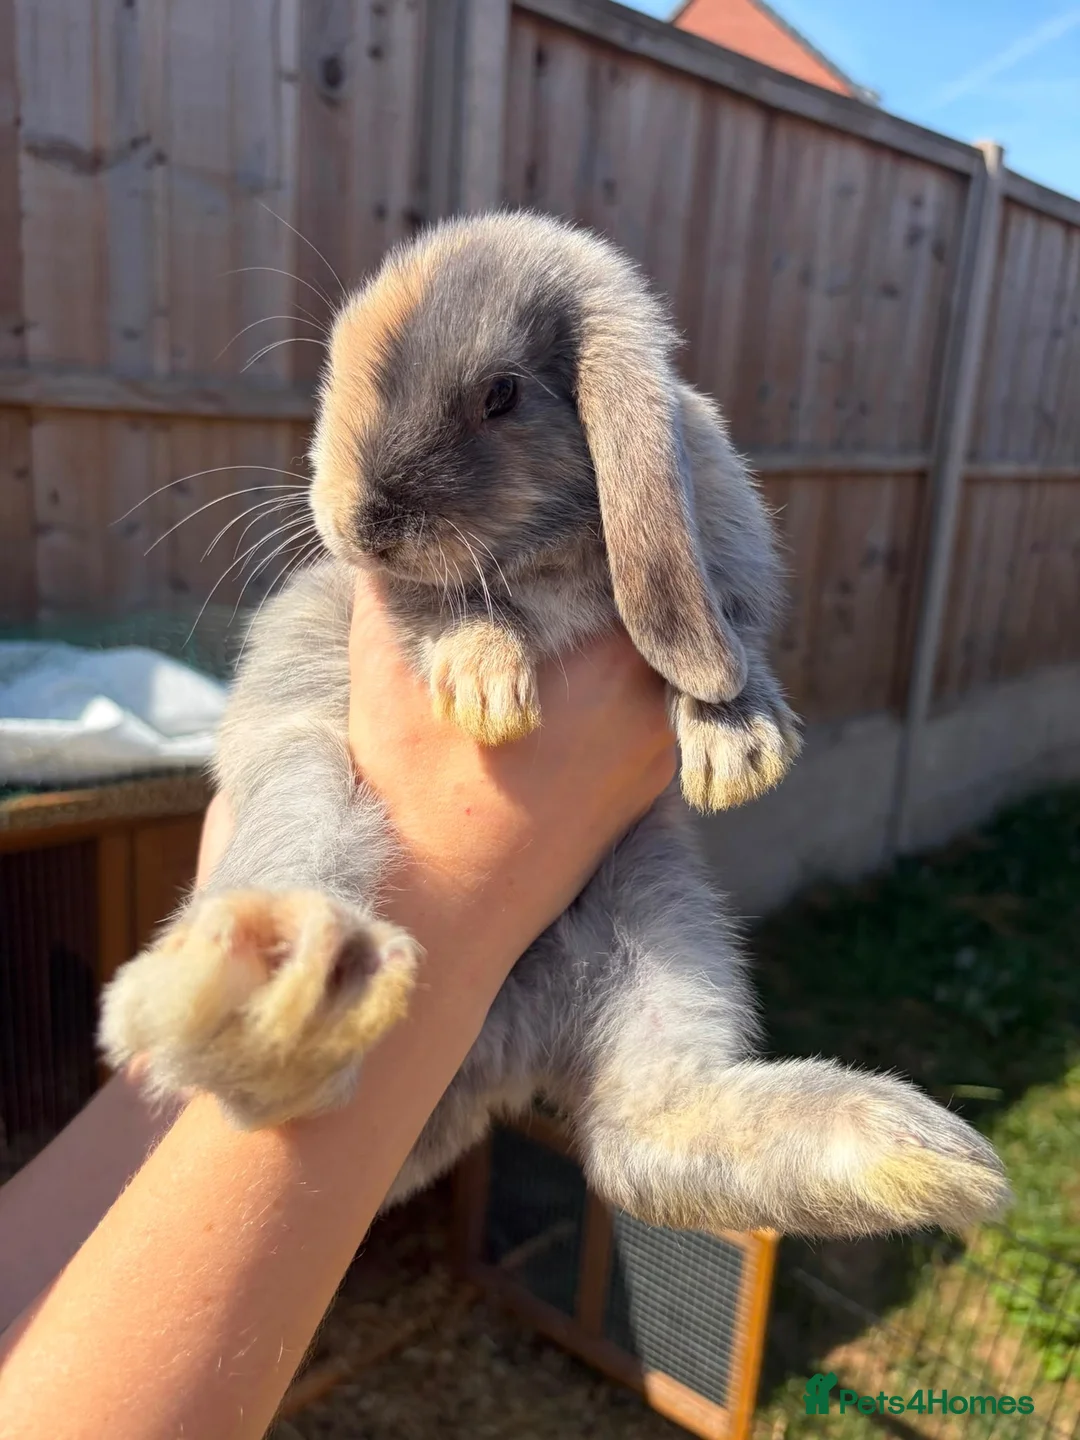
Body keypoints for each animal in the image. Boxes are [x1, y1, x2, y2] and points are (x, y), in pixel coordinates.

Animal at [100, 211, 1009, 1238]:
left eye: (501, 394)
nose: (359, 522)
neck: (548, 549)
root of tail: (501, 1043)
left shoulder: (728, 557)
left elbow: (732, 639)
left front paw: (739, 748)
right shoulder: (376, 602)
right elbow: (442, 607)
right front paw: (488, 686)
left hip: (661, 915)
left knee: (638, 1135)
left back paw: (920, 1159)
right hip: (305, 788)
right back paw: (273, 994)